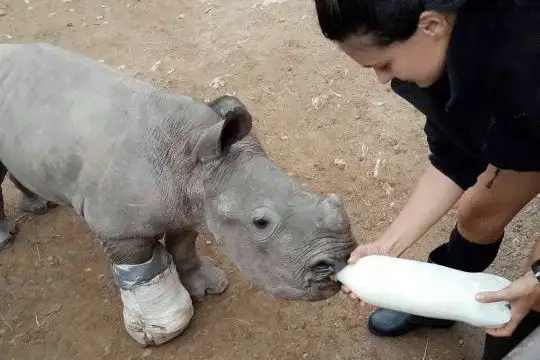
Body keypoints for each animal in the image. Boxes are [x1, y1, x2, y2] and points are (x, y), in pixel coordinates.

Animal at [0, 42, 356, 346]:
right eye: (261, 222)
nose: (341, 258)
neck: (190, 161)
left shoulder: (188, 207)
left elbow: (184, 246)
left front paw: (207, 288)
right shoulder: (119, 228)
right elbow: (140, 267)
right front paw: (160, 327)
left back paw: (39, 206)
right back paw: (6, 238)